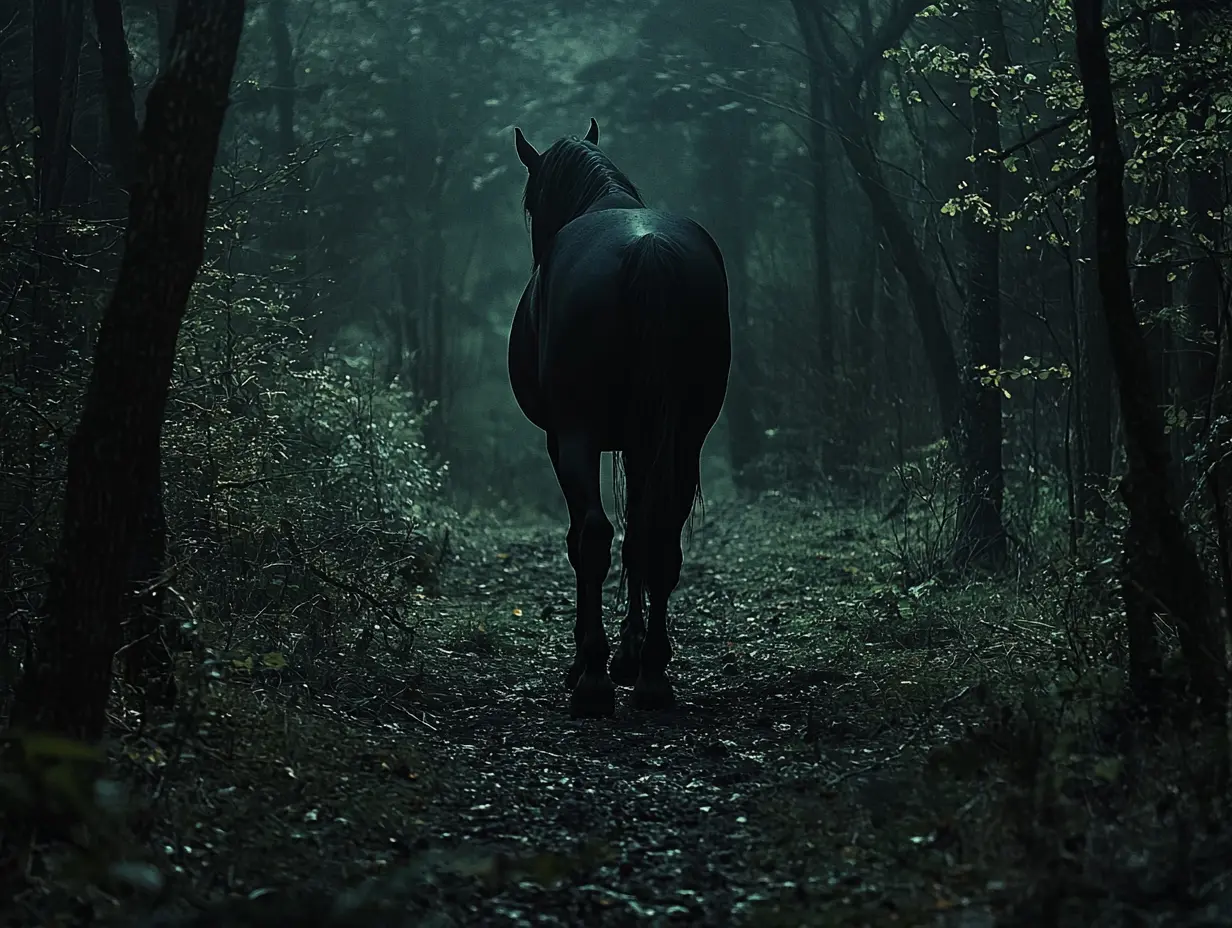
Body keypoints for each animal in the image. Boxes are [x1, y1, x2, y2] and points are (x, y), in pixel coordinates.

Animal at [508, 118, 732, 718]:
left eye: (530, 200)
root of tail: (647, 249)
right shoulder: (642, 441)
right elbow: (639, 535)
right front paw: (630, 653)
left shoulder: (562, 438)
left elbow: (589, 538)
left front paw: (588, 661)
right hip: (686, 435)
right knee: (662, 533)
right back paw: (652, 672)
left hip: (579, 435)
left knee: (593, 536)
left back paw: (592, 679)